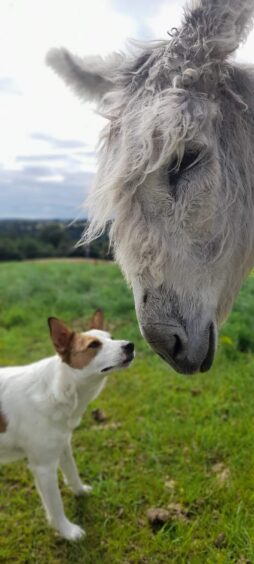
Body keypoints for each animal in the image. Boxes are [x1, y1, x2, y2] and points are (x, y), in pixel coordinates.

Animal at [0, 310, 135, 540]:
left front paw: (80, 491)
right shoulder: (43, 467)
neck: (58, 389)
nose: (130, 345)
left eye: (111, 337)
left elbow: (72, 472)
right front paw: (67, 531)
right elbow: (55, 505)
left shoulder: (63, 444)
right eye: (93, 345)